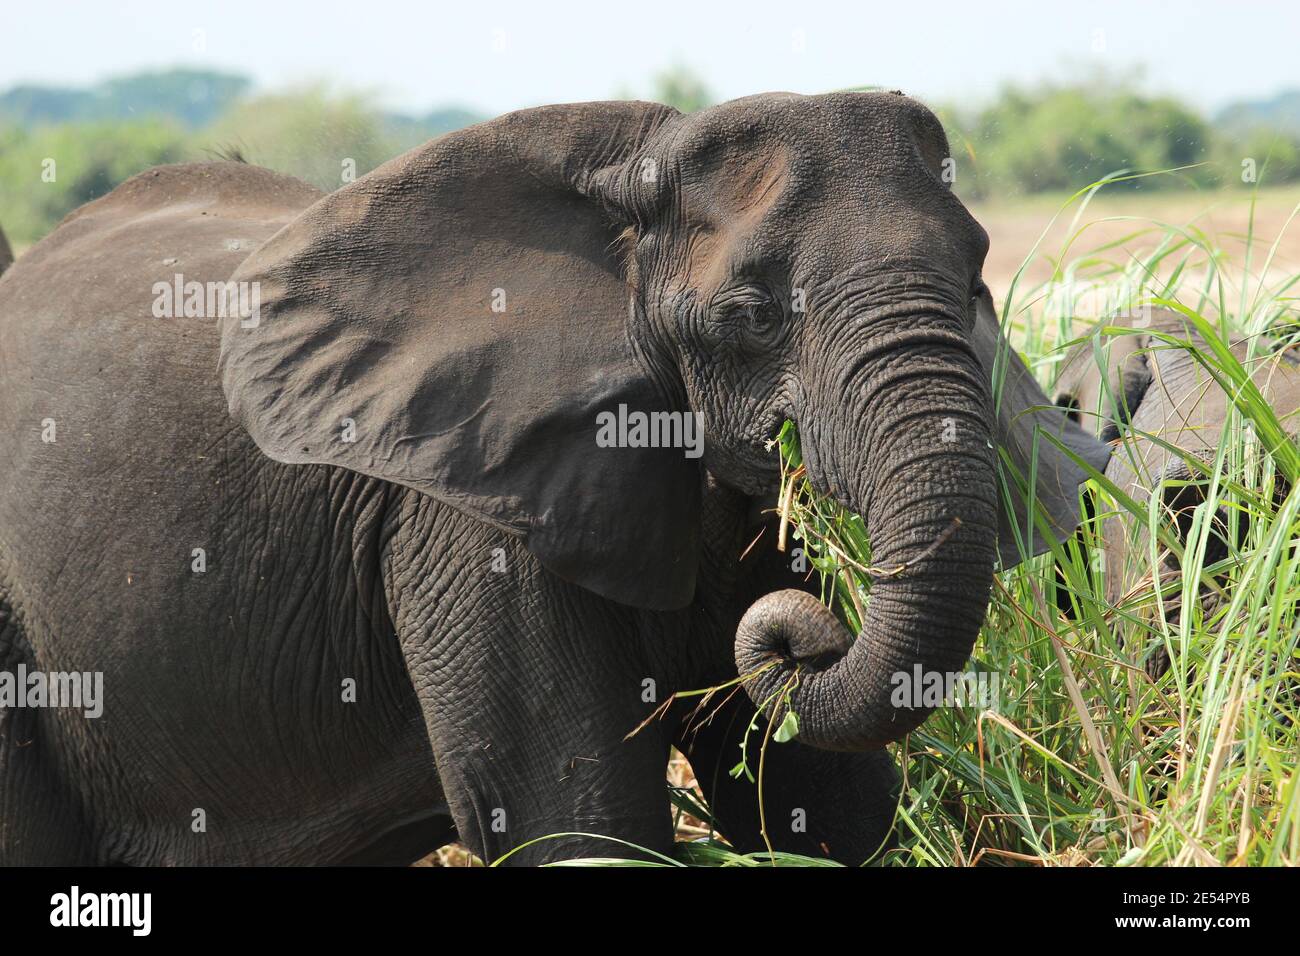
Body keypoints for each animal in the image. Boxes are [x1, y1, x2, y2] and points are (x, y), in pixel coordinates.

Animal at [0, 91, 1107, 868]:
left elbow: (817, 798)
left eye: (976, 283)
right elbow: (575, 818)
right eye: (750, 315)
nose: (805, 629)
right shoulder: (466, 518)